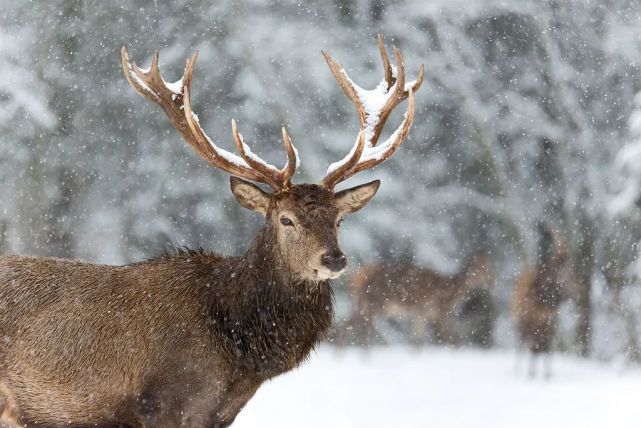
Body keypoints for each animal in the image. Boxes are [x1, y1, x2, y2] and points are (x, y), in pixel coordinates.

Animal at [342, 251, 492, 348]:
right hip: (375, 304)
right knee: (358, 325)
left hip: (364, 304)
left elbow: (416, 341)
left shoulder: (422, 315)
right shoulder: (440, 313)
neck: (451, 295)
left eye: (489, 268)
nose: (491, 281)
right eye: (483, 269)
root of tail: (359, 278)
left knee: (354, 323)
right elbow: (450, 339)